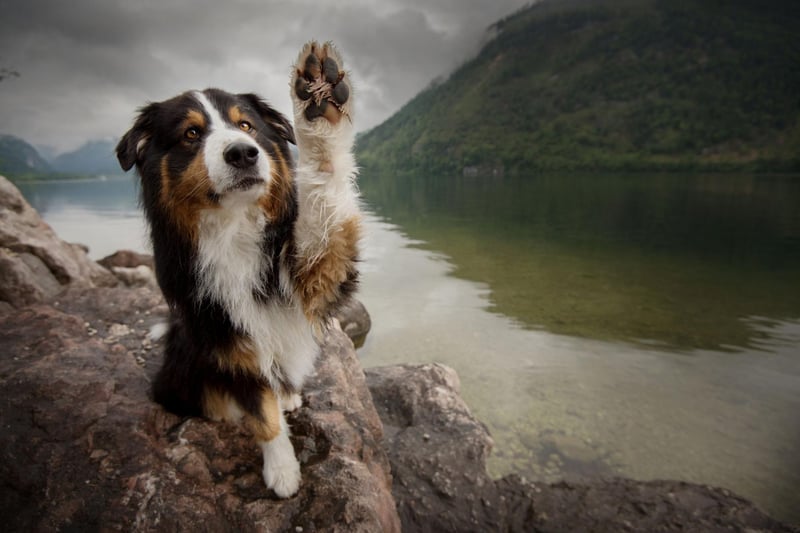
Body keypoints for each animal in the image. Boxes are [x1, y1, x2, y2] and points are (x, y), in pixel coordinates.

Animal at [115, 40, 360, 494]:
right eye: (191, 134)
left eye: (246, 126)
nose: (244, 153)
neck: (233, 224)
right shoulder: (226, 336)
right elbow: (261, 413)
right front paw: (282, 473)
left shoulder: (314, 269)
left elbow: (326, 192)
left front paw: (318, 102)